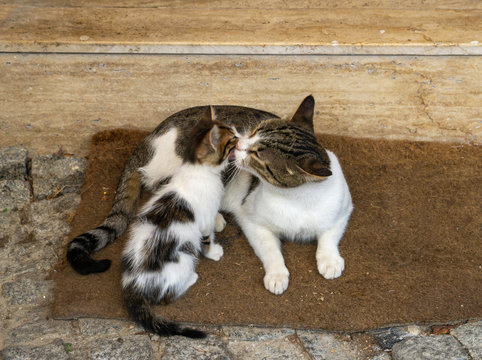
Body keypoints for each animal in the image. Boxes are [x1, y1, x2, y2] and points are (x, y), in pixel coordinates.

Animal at [121, 107, 238, 338]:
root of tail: (134, 283)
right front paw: (213, 252)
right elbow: (207, 237)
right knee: (166, 296)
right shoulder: (204, 218)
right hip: (183, 258)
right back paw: (191, 278)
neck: (197, 170)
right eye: (231, 138)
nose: (240, 137)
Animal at [220, 95, 352, 296]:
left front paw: (329, 260)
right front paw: (277, 275)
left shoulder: (342, 210)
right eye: (254, 131)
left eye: (256, 154)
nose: (237, 144)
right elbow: (270, 251)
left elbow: (329, 236)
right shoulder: (252, 221)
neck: (298, 199)